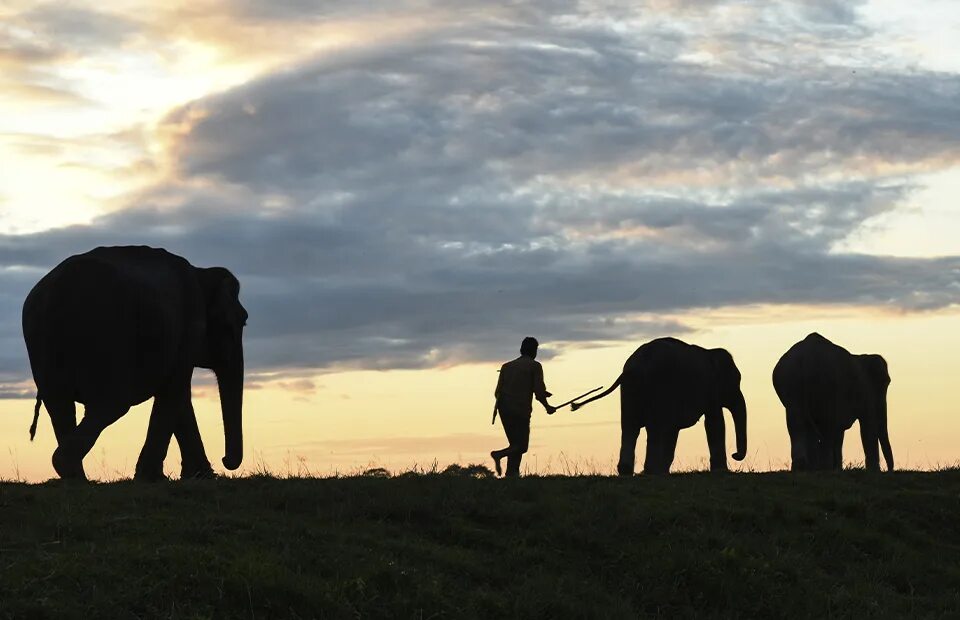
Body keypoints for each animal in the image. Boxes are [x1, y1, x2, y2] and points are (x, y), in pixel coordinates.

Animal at [23, 245, 249, 482]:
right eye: (242, 322)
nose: (225, 460)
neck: (201, 273)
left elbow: (177, 394)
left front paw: (200, 476)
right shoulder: (189, 327)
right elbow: (175, 390)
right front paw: (154, 478)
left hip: (43, 345)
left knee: (60, 405)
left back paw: (75, 477)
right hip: (104, 339)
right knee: (111, 404)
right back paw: (67, 465)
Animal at [568, 340, 752, 474]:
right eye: (736, 382)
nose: (735, 455)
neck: (710, 352)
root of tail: (633, 367)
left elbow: (673, 430)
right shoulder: (710, 389)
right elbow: (715, 422)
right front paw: (721, 471)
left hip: (630, 392)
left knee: (630, 428)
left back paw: (628, 471)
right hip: (657, 388)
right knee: (653, 429)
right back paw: (650, 471)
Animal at [772, 332, 892, 472]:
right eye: (885, 383)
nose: (889, 470)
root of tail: (806, 359)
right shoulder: (866, 391)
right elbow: (868, 425)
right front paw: (874, 471)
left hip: (792, 385)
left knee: (797, 423)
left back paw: (805, 468)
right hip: (825, 386)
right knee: (825, 425)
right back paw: (824, 468)